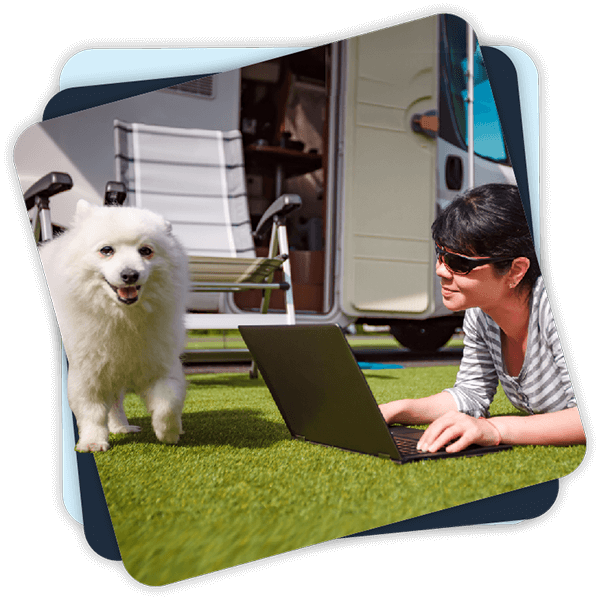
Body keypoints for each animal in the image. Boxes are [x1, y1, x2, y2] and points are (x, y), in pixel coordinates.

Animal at [39, 199, 189, 452]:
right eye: (106, 250)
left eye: (145, 251)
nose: (130, 274)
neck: (121, 317)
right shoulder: (86, 372)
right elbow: (92, 412)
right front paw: (92, 442)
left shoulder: (159, 363)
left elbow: (168, 402)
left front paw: (169, 431)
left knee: (116, 404)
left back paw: (121, 427)